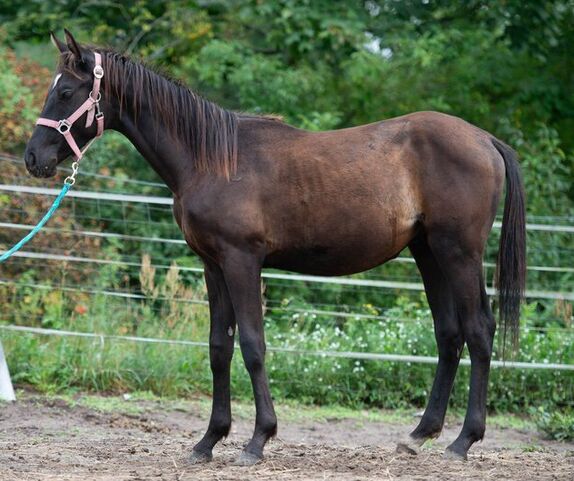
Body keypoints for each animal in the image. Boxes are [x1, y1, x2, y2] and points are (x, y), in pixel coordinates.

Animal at [22, 31, 528, 464]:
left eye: (66, 92)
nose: (33, 158)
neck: (212, 159)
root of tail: (485, 139)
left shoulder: (242, 261)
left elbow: (252, 344)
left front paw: (257, 440)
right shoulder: (213, 266)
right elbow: (218, 348)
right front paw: (208, 441)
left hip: (458, 254)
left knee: (478, 331)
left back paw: (463, 442)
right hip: (428, 253)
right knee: (449, 335)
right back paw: (419, 436)